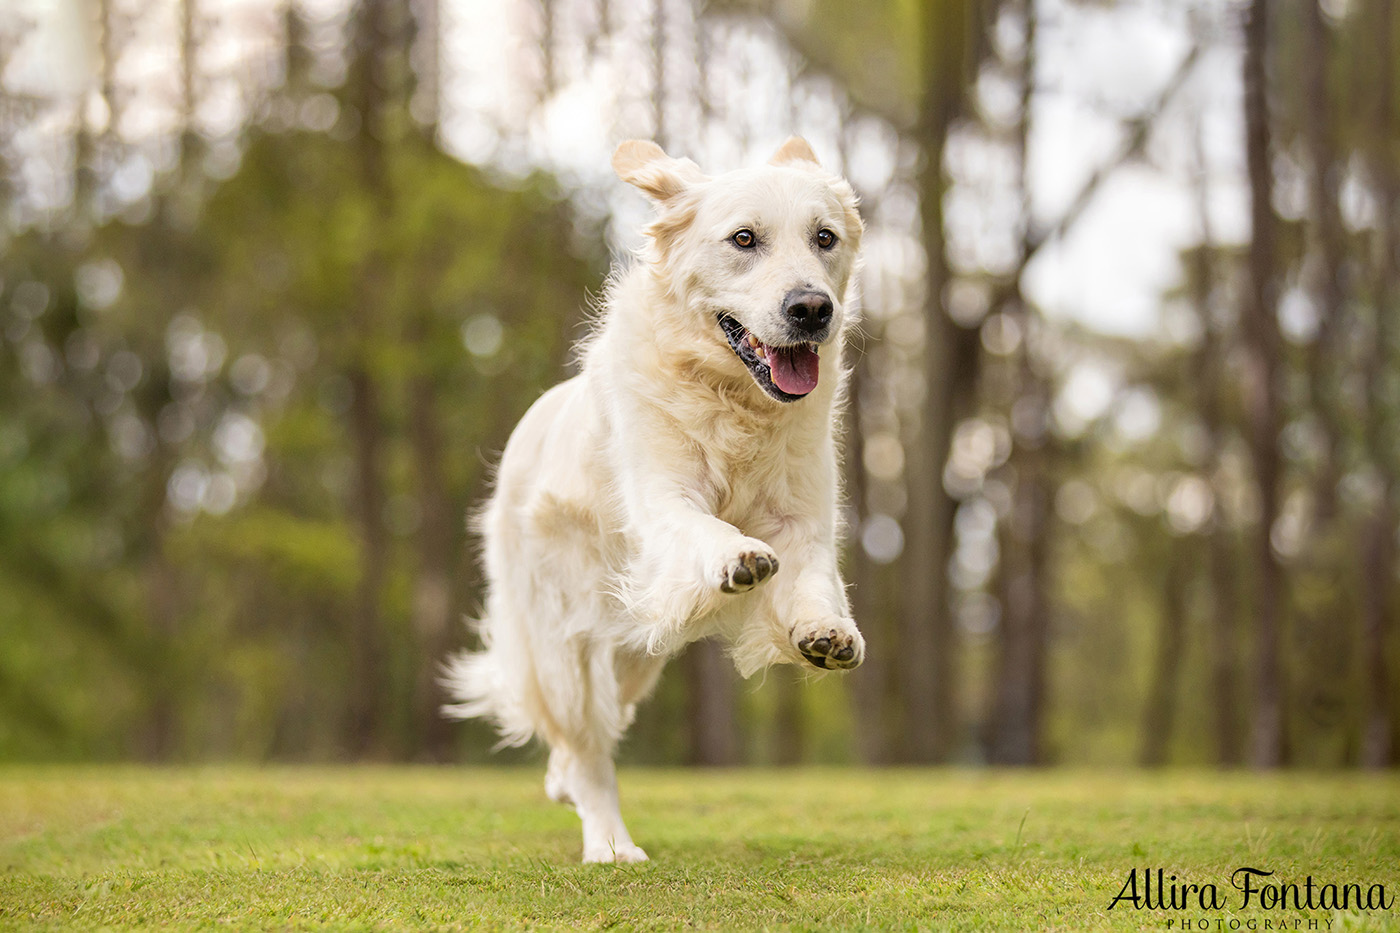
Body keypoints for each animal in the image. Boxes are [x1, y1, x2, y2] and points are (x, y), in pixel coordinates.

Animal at [445, 134, 862, 862]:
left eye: (824, 238)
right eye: (744, 238)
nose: (812, 308)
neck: (733, 397)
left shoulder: (802, 519)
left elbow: (811, 578)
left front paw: (826, 630)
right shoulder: (664, 500)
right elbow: (705, 528)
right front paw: (738, 557)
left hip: (639, 653)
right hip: (564, 646)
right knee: (587, 750)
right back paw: (610, 842)